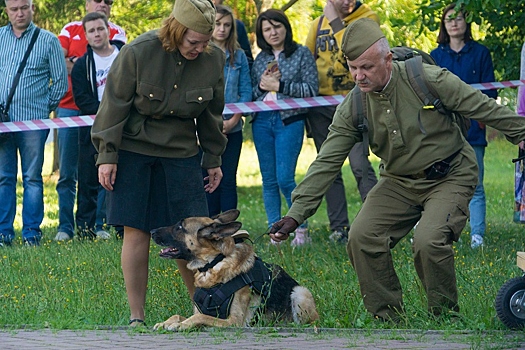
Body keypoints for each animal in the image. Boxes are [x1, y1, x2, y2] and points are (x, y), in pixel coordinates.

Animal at [149, 209, 318, 332]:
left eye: (179, 227)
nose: (151, 231)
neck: (213, 264)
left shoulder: (235, 322)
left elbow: (201, 318)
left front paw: (181, 325)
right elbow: (179, 315)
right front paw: (166, 322)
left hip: (300, 292)